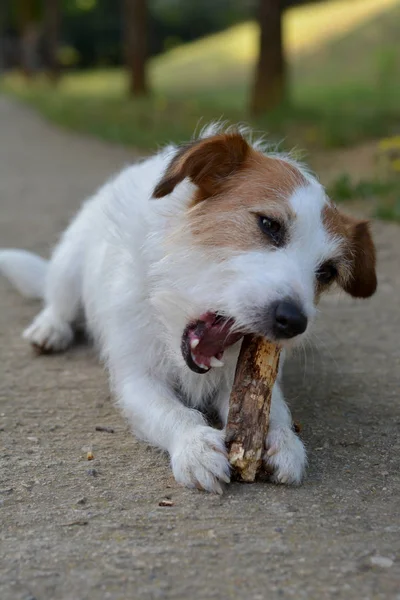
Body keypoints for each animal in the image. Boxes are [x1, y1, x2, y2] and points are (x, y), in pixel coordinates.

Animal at [0, 124, 376, 494]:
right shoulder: (136, 378)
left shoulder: (240, 381)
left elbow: (275, 409)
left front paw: (282, 440)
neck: (171, 307)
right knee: (58, 300)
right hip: (68, 266)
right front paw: (195, 445)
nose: (294, 321)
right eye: (269, 224)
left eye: (327, 272)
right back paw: (50, 328)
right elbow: (174, 413)